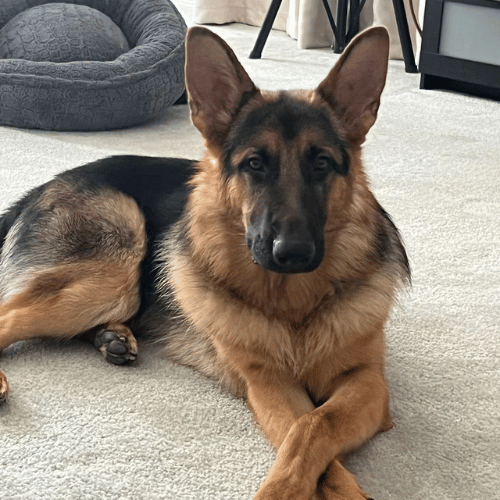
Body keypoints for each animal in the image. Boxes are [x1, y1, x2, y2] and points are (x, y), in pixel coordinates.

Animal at [0, 26, 406, 500]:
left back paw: (112, 337)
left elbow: (314, 425)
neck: (293, 306)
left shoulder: (367, 383)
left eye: (322, 163)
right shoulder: (268, 383)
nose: (292, 252)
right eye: (254, 164)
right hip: (116, 265)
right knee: (11, 316)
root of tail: (42, 186)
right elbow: (304, 431)